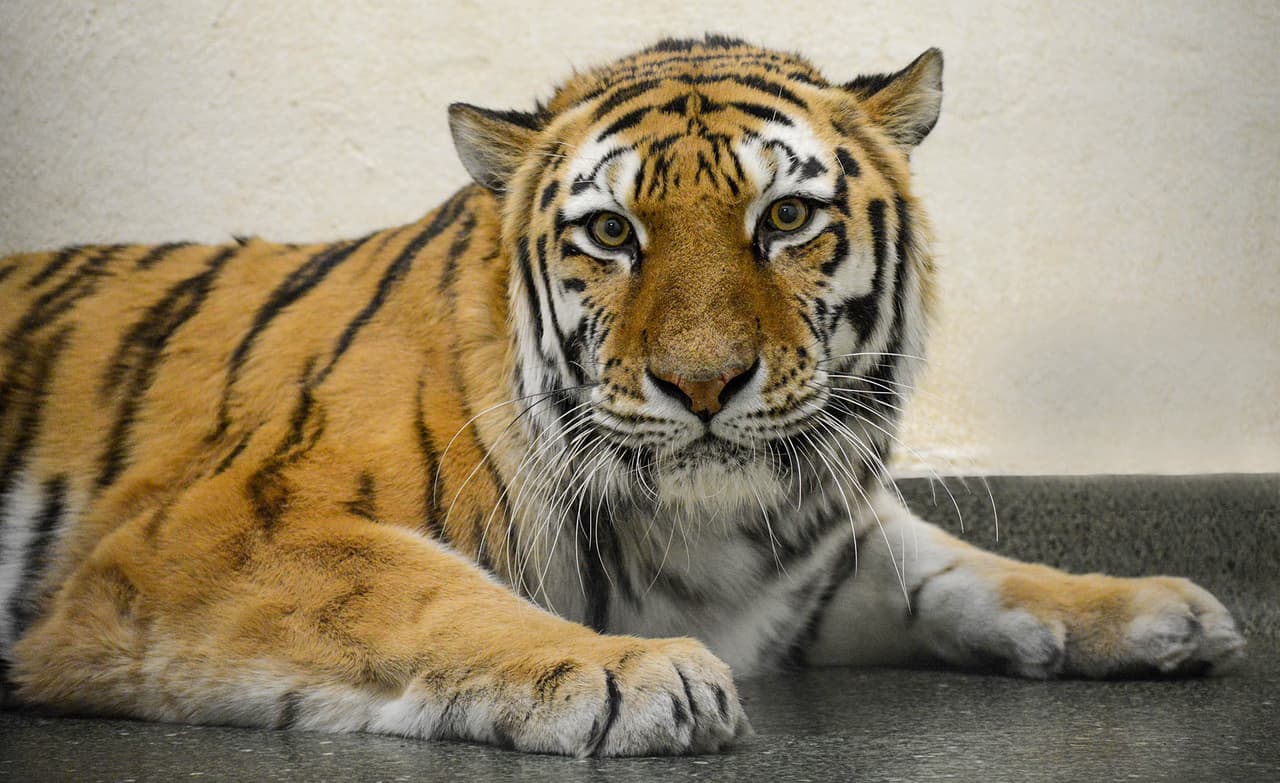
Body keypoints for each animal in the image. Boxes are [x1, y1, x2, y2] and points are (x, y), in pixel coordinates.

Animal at [0, 36, 1245, 757]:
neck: (707, 532)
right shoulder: (216, 533)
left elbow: (963, 569)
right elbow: (432, 593)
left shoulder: (816, 559)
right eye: (609, 233)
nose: (700, 382)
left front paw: (1151, 609)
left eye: (784, 217)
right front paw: (632, 673)